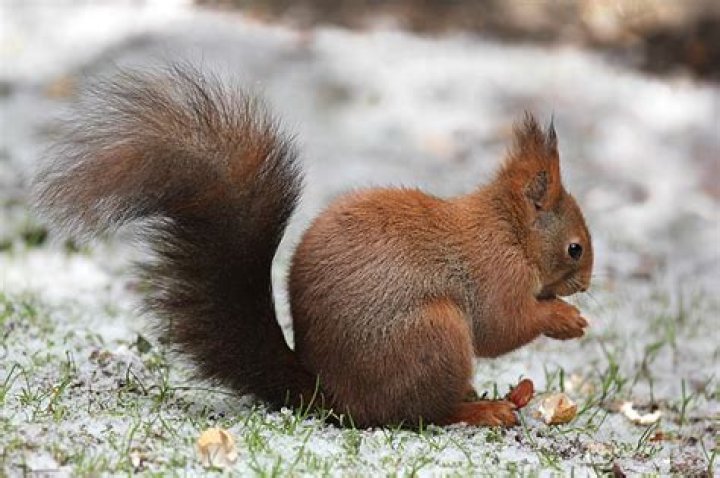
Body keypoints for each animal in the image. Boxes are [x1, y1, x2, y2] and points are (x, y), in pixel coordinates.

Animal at [33, 65, 593, 428]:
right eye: (575, 249)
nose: (586, 284)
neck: (511, 230)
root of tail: (333, 397)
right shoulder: (494, 271)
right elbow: (502, 325)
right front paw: (563, 318)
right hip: (432, 335)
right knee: (420, 415)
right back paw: (479, 408)